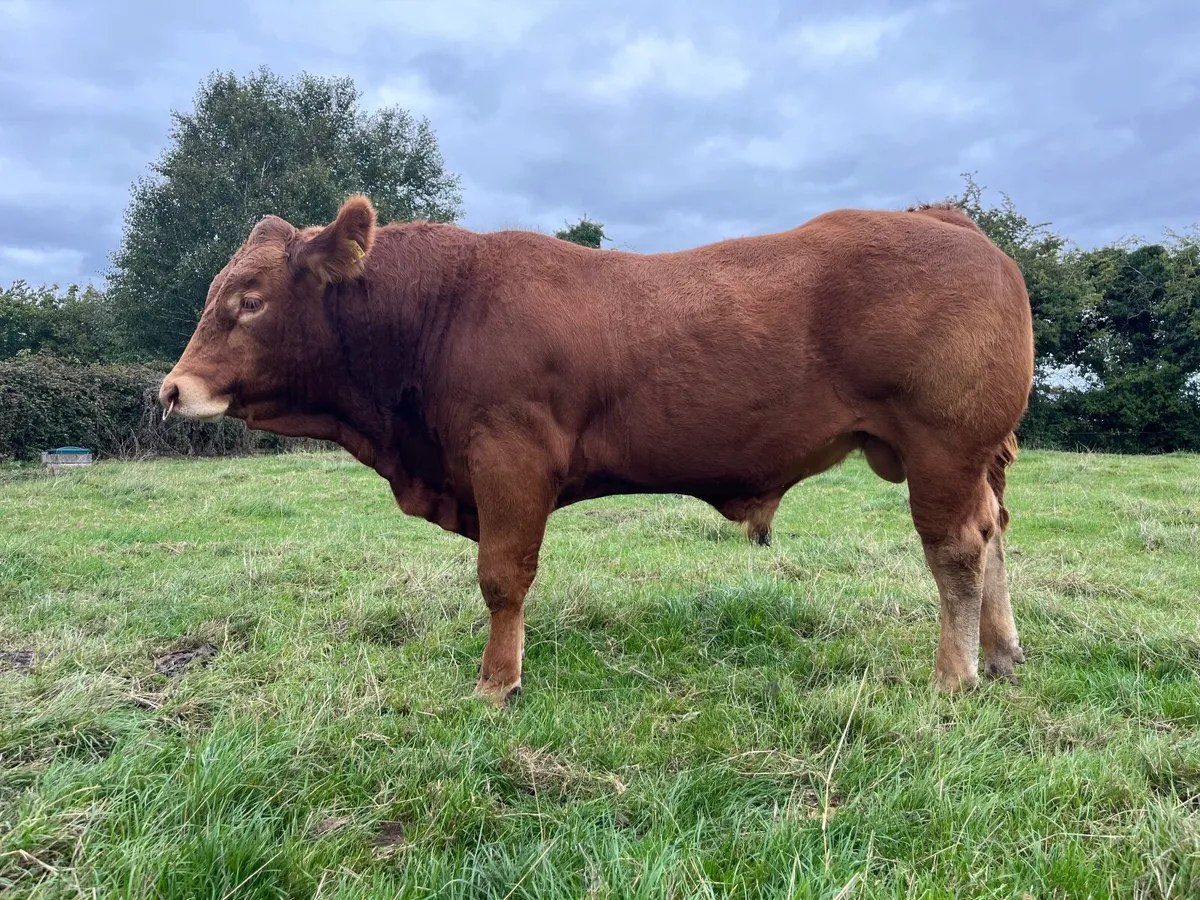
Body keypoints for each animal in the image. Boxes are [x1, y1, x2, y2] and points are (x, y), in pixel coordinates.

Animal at [159, 194, 1035, 705]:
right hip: (968, 458)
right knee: (993, 532)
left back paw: (953, 676)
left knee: (956, 549)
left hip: (943, 446)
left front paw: (497, 683)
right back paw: (1000, 653)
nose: (171, 390)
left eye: (249, 300)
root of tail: (944, 218)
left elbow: (502, 579)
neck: (443, 309)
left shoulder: (509, 458)